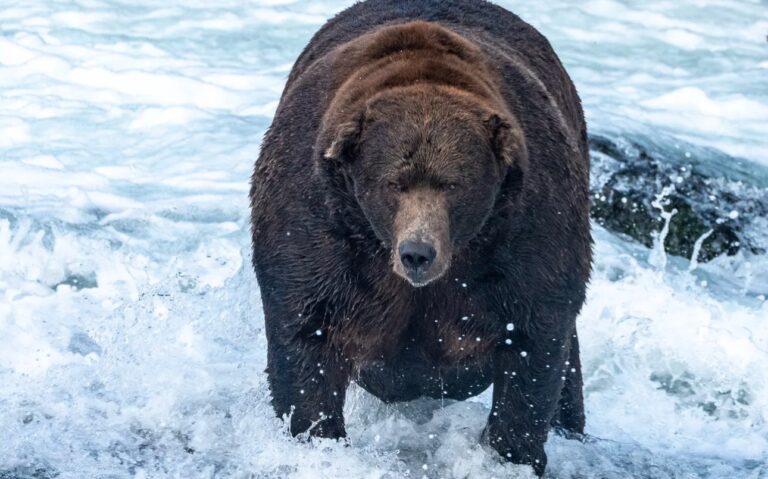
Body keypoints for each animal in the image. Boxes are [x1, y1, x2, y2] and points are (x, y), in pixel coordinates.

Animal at [249, 0, 591, 475]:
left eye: (453, 184)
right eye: (394, 183)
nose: (417, 253)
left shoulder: (527, 228)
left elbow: (532, 342)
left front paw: (512, 452)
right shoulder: (317, 222)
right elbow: (307, 332)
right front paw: (317, 434)